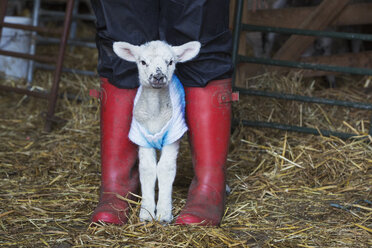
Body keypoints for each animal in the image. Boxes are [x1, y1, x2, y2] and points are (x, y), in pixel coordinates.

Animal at [112, 39, 201, 223]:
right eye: (143, 62)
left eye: (171, 62)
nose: (158, 76)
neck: (155, 114)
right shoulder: (142, 138)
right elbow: (148, 169)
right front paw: (146, 213)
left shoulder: (173, 136)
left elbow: (164, 169)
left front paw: (164, 213)